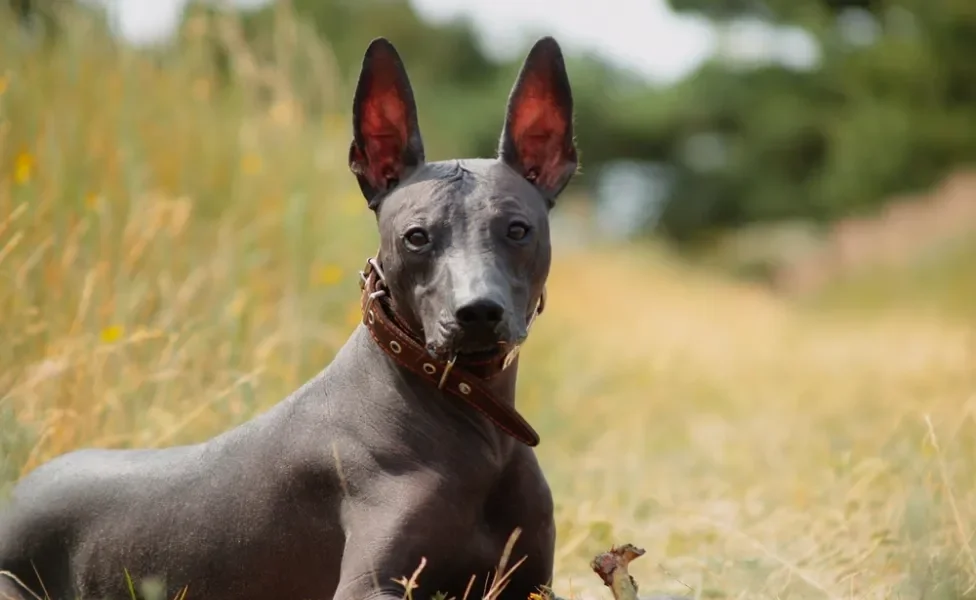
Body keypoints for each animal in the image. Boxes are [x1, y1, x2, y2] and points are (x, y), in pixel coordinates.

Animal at [0, 37, 580, 600]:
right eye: (416, 236)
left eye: (518, 230)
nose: (477, 312)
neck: (476, 430)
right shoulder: (370, 586)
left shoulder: (532, 584)